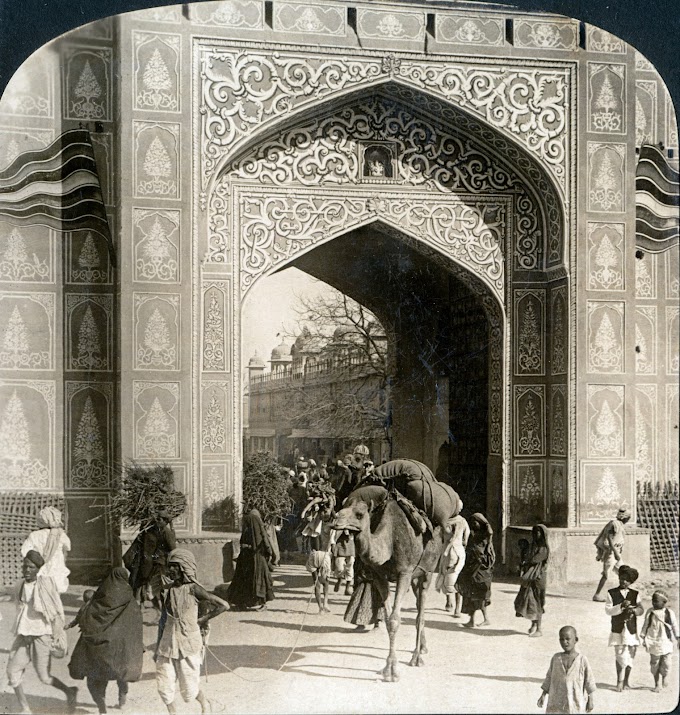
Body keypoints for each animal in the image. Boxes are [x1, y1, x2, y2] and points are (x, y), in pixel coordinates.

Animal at [334, 486, 446, 684]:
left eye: (360, 514)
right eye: (343, 507)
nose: (336, 519)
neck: (390, 539)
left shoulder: (404, 573)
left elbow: (395, 620)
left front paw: (392, 671)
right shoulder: (380, 575)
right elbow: (388, 620)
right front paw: (388, 668)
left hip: (427, 571)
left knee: (421, 611)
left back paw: (416, 657)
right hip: (415, 577)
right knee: (418, 604)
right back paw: (422, 647)